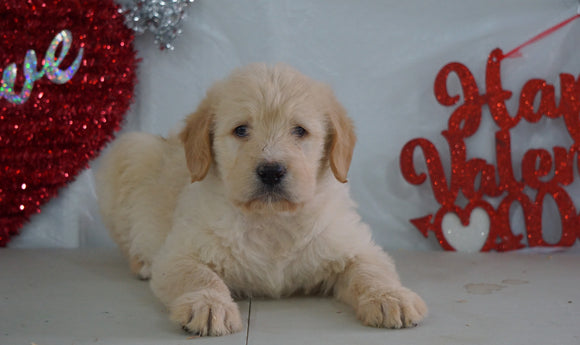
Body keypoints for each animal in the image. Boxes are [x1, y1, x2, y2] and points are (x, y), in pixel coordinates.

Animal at [96, 63, 426, 334]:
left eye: (299, 131)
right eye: (241, 130)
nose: (271, 171)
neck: (271, 220)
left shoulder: (354, 246)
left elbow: (371, 271)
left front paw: (391, 297)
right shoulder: (178, 254)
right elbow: (198, 276)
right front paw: (209, 305)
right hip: (131, 150)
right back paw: (142, 263)